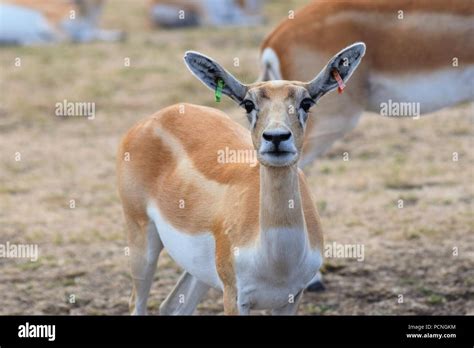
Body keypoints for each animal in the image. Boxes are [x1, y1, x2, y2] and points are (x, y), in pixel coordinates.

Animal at [115, 42, 366, 316]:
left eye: (307, 102)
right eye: (248, 104)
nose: (276, 137)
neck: (277, 262)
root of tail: (151, 120)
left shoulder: (291, 298)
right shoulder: (234, 296)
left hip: (200, 272)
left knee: (171, 305)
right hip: (140, 235)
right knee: (137, 302)